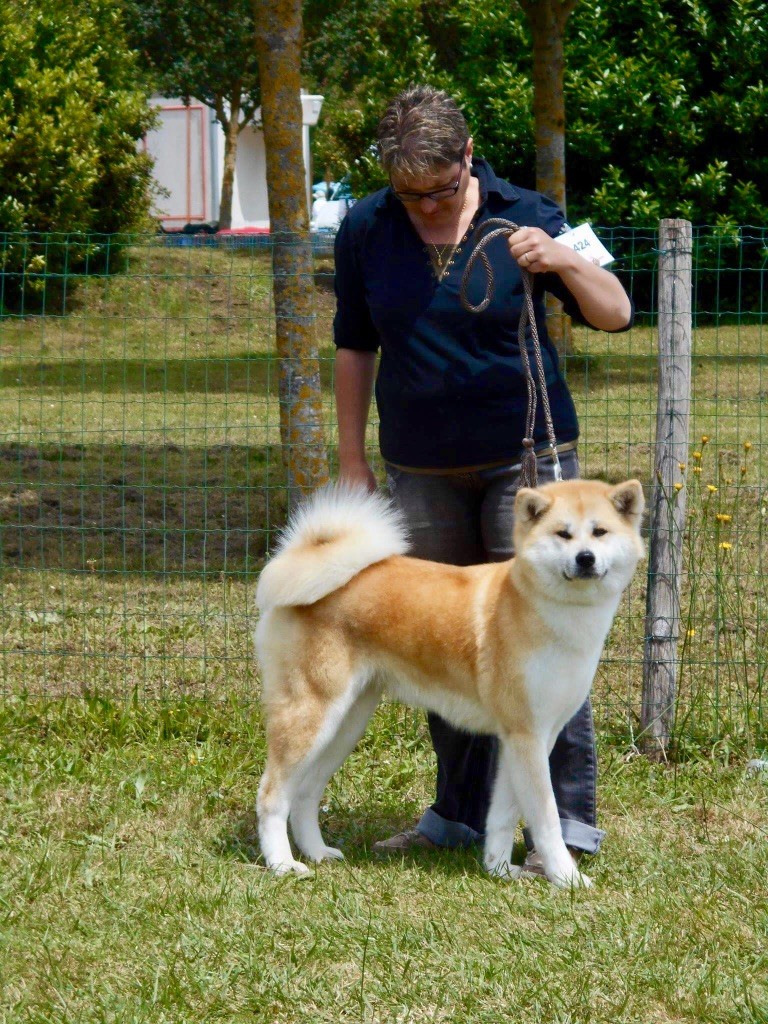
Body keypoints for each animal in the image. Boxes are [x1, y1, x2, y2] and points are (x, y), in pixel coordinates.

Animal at [254, 478, 644, 886]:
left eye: (600, 532)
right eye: (562, 534)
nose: (585, 558)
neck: (551, 612)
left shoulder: (528, 737)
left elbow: (503, 814)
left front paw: (499, 870)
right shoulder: (527, 736)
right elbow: (547, 818)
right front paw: (567, 878)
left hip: (345, 724)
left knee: (305, 794)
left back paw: (317, 853)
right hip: (311, 716)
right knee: (271, 796)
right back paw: (282, 864)